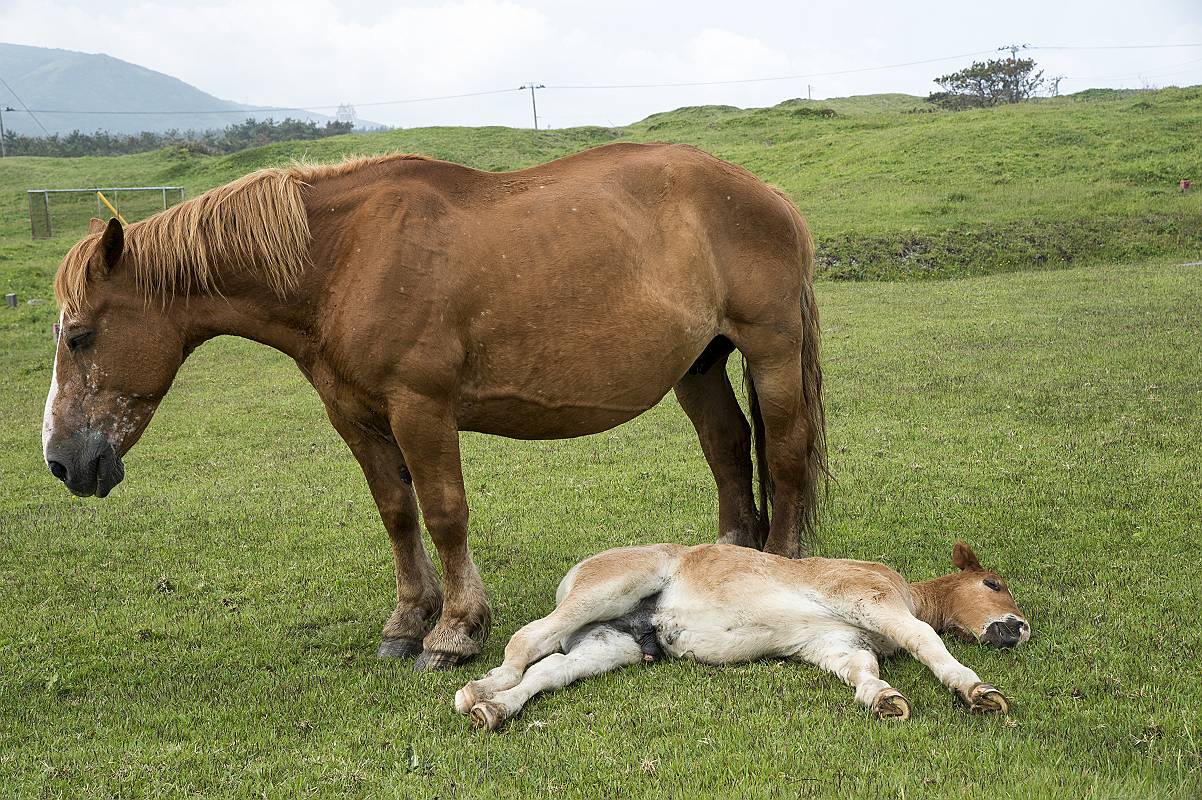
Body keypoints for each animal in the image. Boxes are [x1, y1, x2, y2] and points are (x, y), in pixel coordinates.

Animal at [39, 141, 826, 667]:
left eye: (79, 336)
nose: (62, 462)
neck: (343, 259)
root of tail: (770, 195)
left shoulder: (421, 409)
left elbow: (445, 514)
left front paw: (455, 631)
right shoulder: (355, 415)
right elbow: (397, 513)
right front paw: (407, 621)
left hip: (771, 353)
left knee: (785, 456)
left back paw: (782, 562)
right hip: (698, 366)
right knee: (728, 448)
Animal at [454, 538, 1028, 725]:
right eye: (994, 583)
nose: (1020, 629)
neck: (907, 591)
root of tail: (576, 573)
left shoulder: (837, 643)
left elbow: (862, 670)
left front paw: (883, 698)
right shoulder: (870, 600)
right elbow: (926, 639)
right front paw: (976, 690)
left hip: (610, 643)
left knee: (551, 670)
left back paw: (494, 710)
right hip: (610, 590)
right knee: (528, 639)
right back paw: (479, 688)